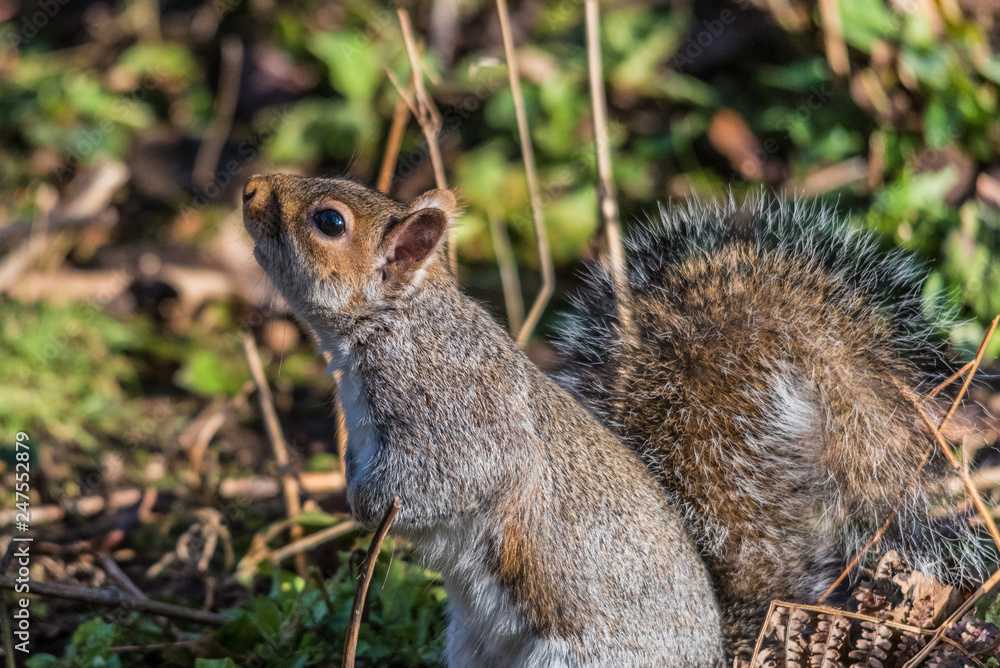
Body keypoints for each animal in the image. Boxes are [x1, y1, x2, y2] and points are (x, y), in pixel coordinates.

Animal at [242, 174, 727, 667]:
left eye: (330, 221)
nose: (250, 187)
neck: (397, 323)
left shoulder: (459, 412)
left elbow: (457, 478)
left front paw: (365, 505)